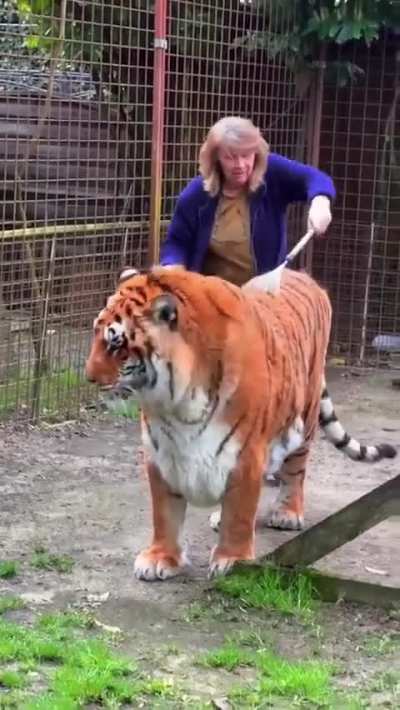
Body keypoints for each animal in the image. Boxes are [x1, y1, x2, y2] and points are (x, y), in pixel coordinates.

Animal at [85, 265, 396, 581]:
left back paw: (287, 513)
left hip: (304, 417)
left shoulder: (246, 452)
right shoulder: (161, 451)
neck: (177, 404)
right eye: (97, 334)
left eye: (116, 344)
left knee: (295, 471)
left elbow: (240, 512)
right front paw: (161, 558)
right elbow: (165, 513)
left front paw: (232, 561)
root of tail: (305, 275)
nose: (89, 378)